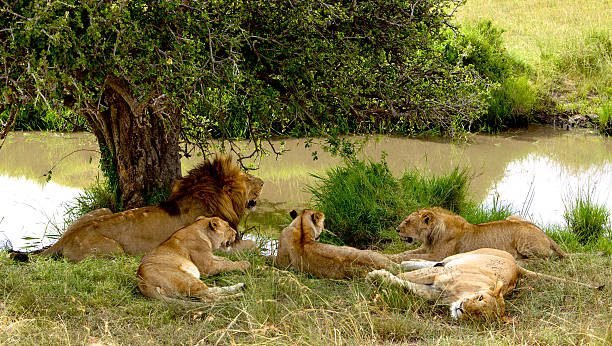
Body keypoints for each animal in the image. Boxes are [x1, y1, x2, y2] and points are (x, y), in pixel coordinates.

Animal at [34, 155, 262, 262]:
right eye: (248, 179)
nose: (263, 182)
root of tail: (66, 239)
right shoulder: (217, 247)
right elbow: (252, 245)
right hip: (115, 251)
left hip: (104, 209)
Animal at [368, 247, 604, 320]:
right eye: (480, 298)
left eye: (480, 316)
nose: (462, 309)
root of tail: (516, 266)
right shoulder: (438, 276)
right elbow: (409, 276)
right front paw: (374, 274)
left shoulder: (434, 292)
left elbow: (406, 284)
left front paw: (382, 277)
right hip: (464, 255)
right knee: (436, 261)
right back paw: (403, 261)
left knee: (435, 262)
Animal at [390, 207, 568, 260]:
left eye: (408, 222)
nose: (397, 229)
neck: (431, 236)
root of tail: (545, 233)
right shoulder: (426, 248)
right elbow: (406, 253)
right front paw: (390, 256)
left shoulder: (437, 256)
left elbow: (410, 256)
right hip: (512, 217)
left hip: (525, 240)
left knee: (546, 257)